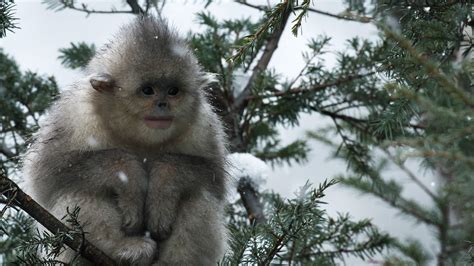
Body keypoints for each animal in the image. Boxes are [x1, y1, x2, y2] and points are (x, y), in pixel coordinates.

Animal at [23, 17, 227, 264]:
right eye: (148, 90)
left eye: (173, 91)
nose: (163, 105)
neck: (139, 140)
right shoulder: (75, 116)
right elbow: (45, 175)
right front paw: (129, 175)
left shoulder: (203, 127)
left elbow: (214, 177)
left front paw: (163, 183)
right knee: (79, 188)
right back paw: (123, 249)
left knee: (199, 194)